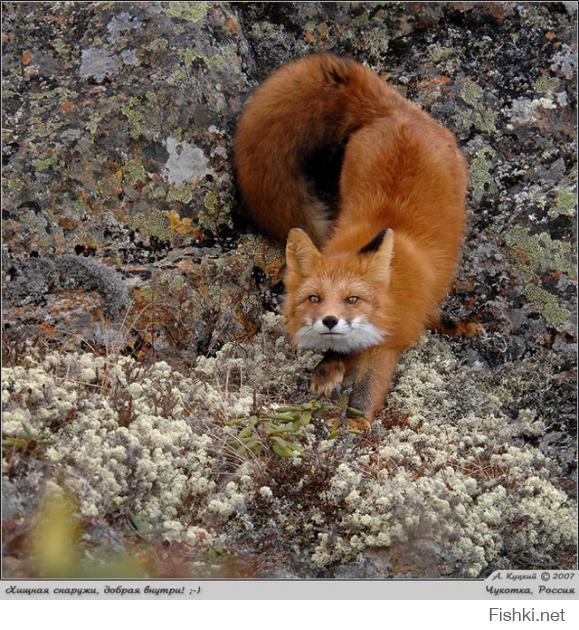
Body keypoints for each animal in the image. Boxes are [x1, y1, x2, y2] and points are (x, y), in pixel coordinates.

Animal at [233, 54, 482, 430]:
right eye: (314, 298)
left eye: (353, 299)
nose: (329, 321)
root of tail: (396, 112)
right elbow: (341, 351)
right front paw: (329, 368)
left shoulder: (387, 342)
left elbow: (366, 388)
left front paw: (354, 424)